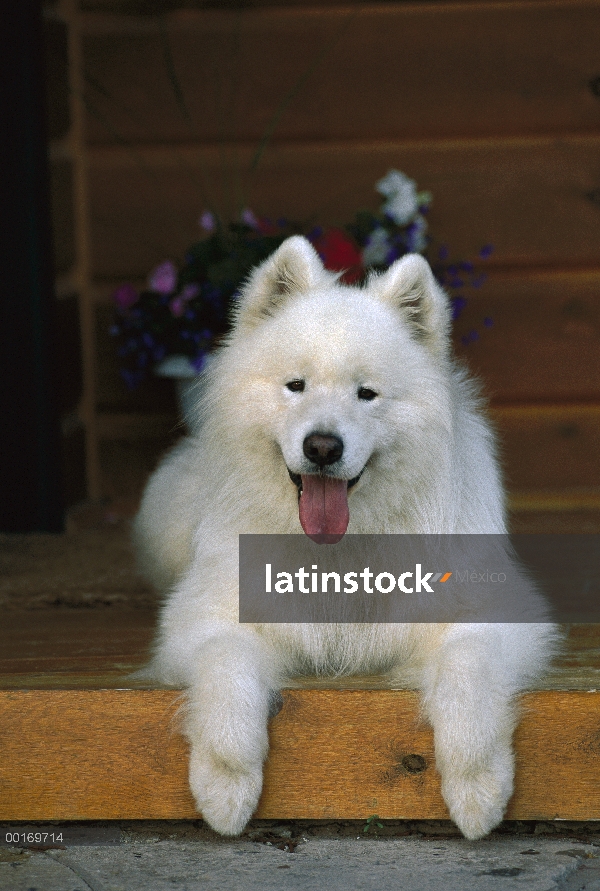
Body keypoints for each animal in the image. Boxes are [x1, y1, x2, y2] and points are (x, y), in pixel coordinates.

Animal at [134, 233, 556, 840]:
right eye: (296, 385)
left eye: (367, 394)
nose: (323, 447)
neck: (340, 552)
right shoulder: (204, 618)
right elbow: (225, 671)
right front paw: (225, 788)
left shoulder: (495, 615)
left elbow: (468, 673)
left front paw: (477, 789)